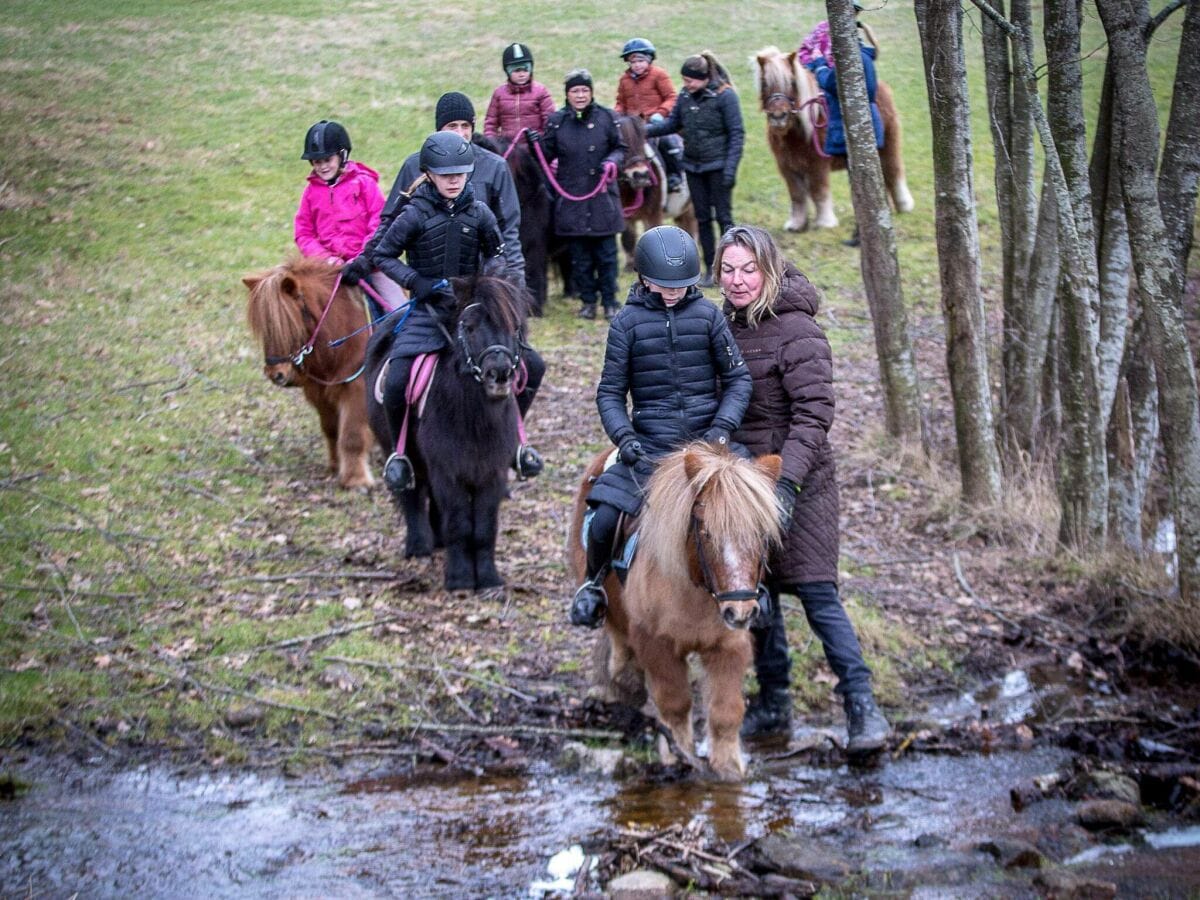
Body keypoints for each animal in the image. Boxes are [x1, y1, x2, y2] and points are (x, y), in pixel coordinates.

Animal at [241, 256, 372, 489]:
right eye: (265, 329)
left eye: (291, 325)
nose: (276, 374)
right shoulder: (318, 391)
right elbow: (331, 429)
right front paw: (335, 466)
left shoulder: (357, 386)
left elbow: (352, 435)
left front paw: (356, 480)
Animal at [364, 278, 530, 595]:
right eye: (470, 327)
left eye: (514, 325)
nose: (500, 373)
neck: (473, 418)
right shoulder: (448, 470)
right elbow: (459, 524)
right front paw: (460, 579)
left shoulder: (491, 472)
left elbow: (485, 527)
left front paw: (488, 579)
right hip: (401, 450)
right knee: (412, 493)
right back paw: (419, 546)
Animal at [571, 444, 787, 782]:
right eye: (706, 532)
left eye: (761, 534)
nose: (740, 611)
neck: (694, 592)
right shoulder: (656, 642)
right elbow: (675, 704)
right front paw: (678, 758)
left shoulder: (728, 645)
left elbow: (726, 711)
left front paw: (729, 769)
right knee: (616, 634)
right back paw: (623, 681)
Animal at [614, 112, 700, 270]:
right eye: (622, 146)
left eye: (642, 143)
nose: (641, 175)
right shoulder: (625, 216)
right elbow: (627, 238)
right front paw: (629, 266)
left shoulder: (653, 213)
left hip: (691, 207)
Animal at [753, 44, 912, 232]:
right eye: (764, 83)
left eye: (792, 82)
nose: (778, 117)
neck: (796, 134)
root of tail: (882, 88)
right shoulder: (788, 168)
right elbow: (797, 195)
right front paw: (796, 224)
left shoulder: (817, 165)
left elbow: (818, 192)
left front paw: (825, 222)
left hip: (888, 146)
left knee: (894, 172)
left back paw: (903, 205)